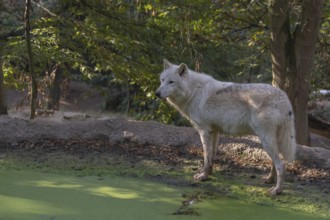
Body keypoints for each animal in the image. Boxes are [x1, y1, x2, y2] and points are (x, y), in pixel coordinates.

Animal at [155, 58, 296, 194]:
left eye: (171, 82)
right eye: (162, 80)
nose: (157, 93)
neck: (193, 92)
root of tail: (284, 98)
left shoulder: (204, 131)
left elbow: (206, 156)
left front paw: (203, 176)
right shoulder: (214, 131)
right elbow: (211, 156)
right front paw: (208, 173)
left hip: (265, 139)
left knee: (281, 165)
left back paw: (277, 190)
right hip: (270, 140)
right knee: (276, 162)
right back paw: (269, 180)